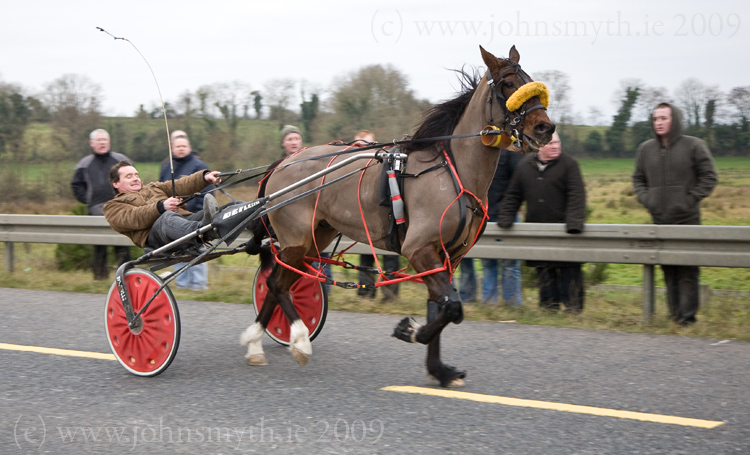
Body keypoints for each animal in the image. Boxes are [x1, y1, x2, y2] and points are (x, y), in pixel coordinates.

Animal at [242, 47, 560, 388]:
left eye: (530, 81)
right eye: (508, 84)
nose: (545, 128)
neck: (453, 172)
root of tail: (283, 162)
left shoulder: (446, 257)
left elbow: (442, 306)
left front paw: (439, 369)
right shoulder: (418, 249)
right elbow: (452, 307)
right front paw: (410, 330)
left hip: (315, 238)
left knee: (277, 283)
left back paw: (256, 344)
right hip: (296, 240)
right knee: (276, 284)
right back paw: (299, 340)